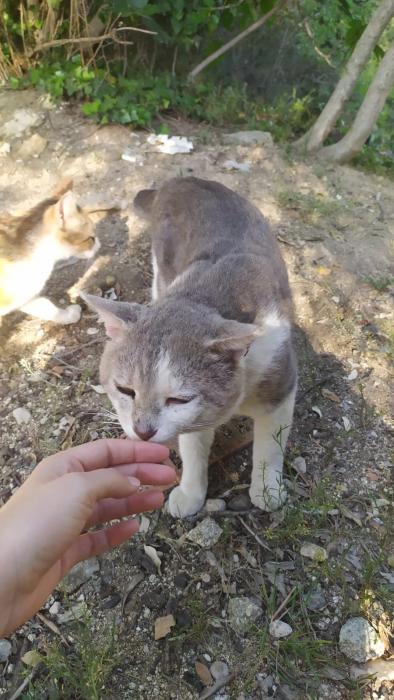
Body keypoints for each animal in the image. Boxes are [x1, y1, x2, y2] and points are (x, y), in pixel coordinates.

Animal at [82, 179, 296, 520]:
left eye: (178, 399)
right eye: (125, 390)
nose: (143, 430)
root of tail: (180, 181)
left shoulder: (280, 383)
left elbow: (270, 445)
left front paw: (267, 489)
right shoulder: (198, 418)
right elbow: (194, 448)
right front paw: (191, 493)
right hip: (161, 265)